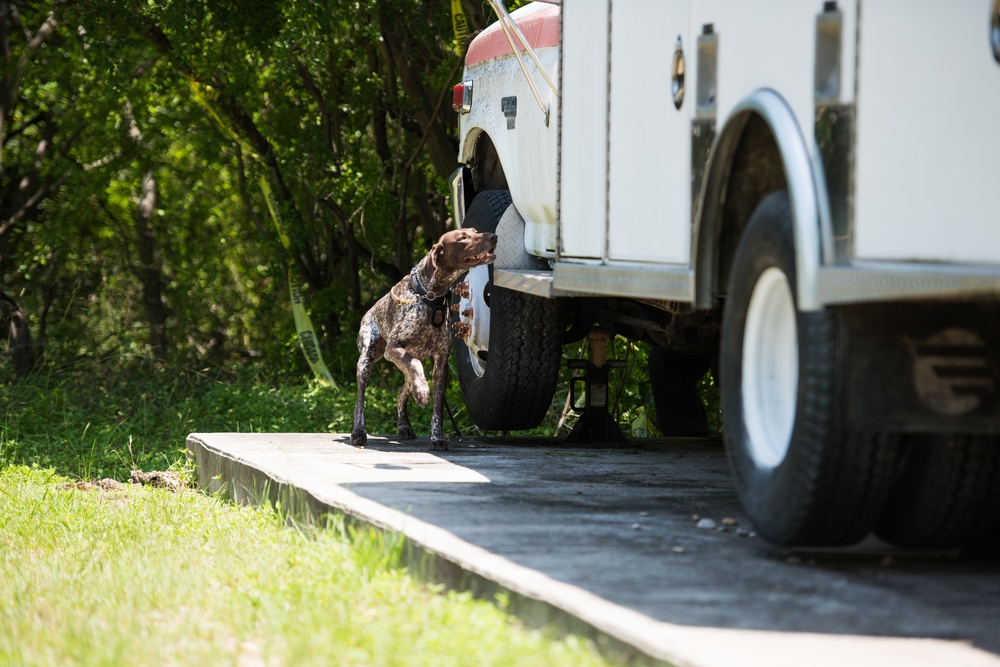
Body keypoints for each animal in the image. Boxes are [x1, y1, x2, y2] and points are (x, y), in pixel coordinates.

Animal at [352, 227, 500, 452]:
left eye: (475, 231)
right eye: (462, 238)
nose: (493, 236)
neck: (431, 297)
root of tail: (369, 311)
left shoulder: (440, 364)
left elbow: (437, 409)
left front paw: (437, 437)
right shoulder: (393, 348)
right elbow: (414, 364)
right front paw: (422, 390)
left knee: (402, 391)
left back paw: (404, 425)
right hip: (366, 361)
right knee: (361, 401)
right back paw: (358, 432)